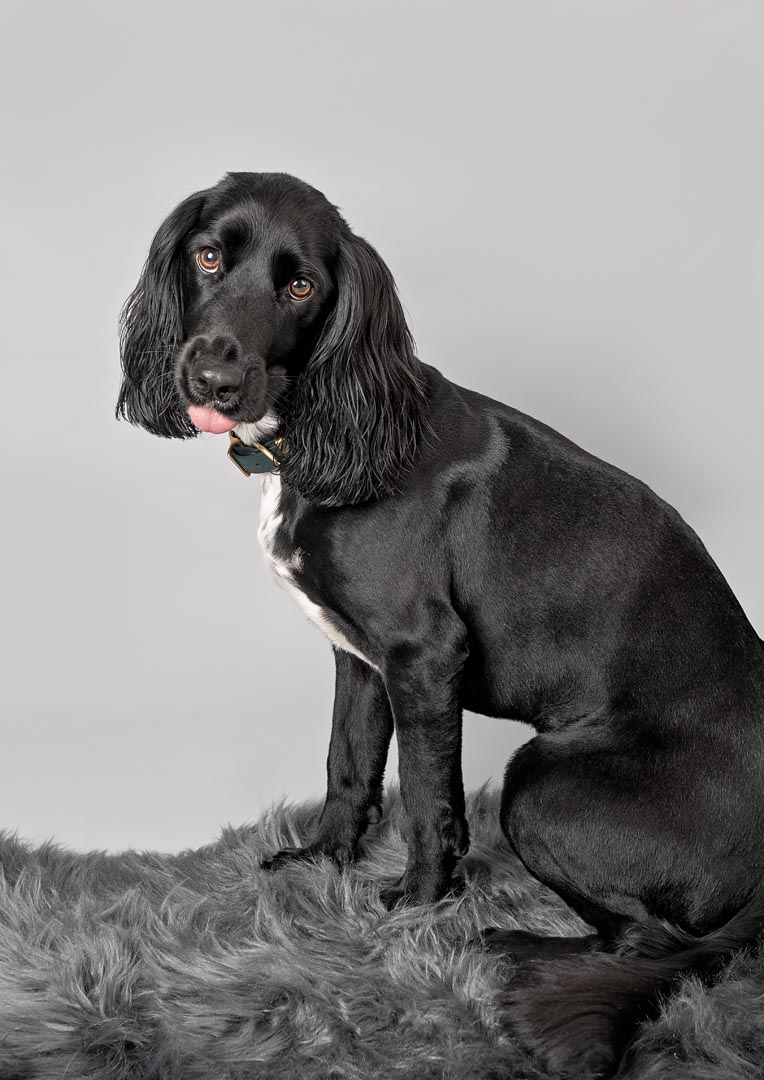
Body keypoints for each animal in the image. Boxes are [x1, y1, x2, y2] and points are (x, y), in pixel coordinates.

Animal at [116, 172, 764, 1075]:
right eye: (209, 256)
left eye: (301, 286)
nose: (212, 376)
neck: (326, 427)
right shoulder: (360, 659)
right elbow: (348, 764)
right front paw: (322, 862)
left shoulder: (424, 655)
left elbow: (427, 796)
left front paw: (416, 909)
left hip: (542, 781)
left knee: (651, 941)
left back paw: (508, 944)